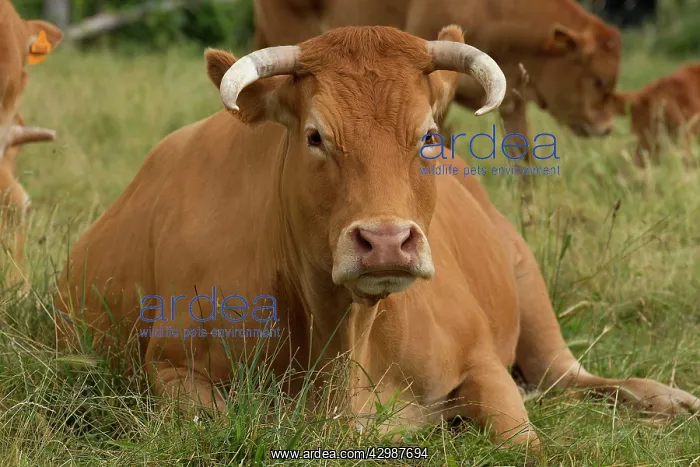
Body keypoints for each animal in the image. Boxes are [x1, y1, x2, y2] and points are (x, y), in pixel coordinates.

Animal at [53, 26, 698, 450]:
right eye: (315, 136)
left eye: (428, 134)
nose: (386, 241)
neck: (347, 342)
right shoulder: (172, 368)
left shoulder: (481, 361)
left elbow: (524, 443)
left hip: (527, 281)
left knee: (568, 378)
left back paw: (662, 399)